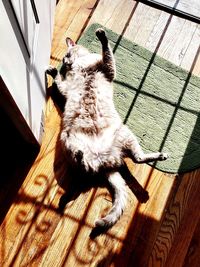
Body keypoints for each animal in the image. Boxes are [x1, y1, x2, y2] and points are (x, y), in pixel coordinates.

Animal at [46, 28, 167, 230]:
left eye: (66, 55)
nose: (65, 63)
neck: (81, 65)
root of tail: (104, 162)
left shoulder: (107, 69)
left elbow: (107, 51)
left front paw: (100, 35)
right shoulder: (68, 87)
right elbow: (59, 81)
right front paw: (53, 71)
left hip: (124, 134)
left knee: (136, 158)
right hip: (69, 138)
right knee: (93, 167)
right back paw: (80, 157)